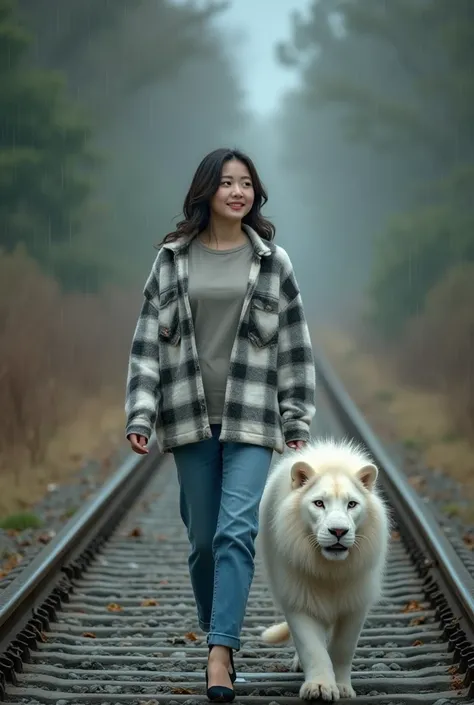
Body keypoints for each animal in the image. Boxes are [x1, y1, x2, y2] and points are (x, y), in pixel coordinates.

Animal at [258, 438, 390, 700]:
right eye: (319, 503)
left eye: (352, 504)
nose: (338, 531)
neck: (330, 570)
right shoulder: (298, 598)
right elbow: (312, 648)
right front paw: (319, 687)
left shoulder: (355, 603)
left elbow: (342, 648)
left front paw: (342, 687)